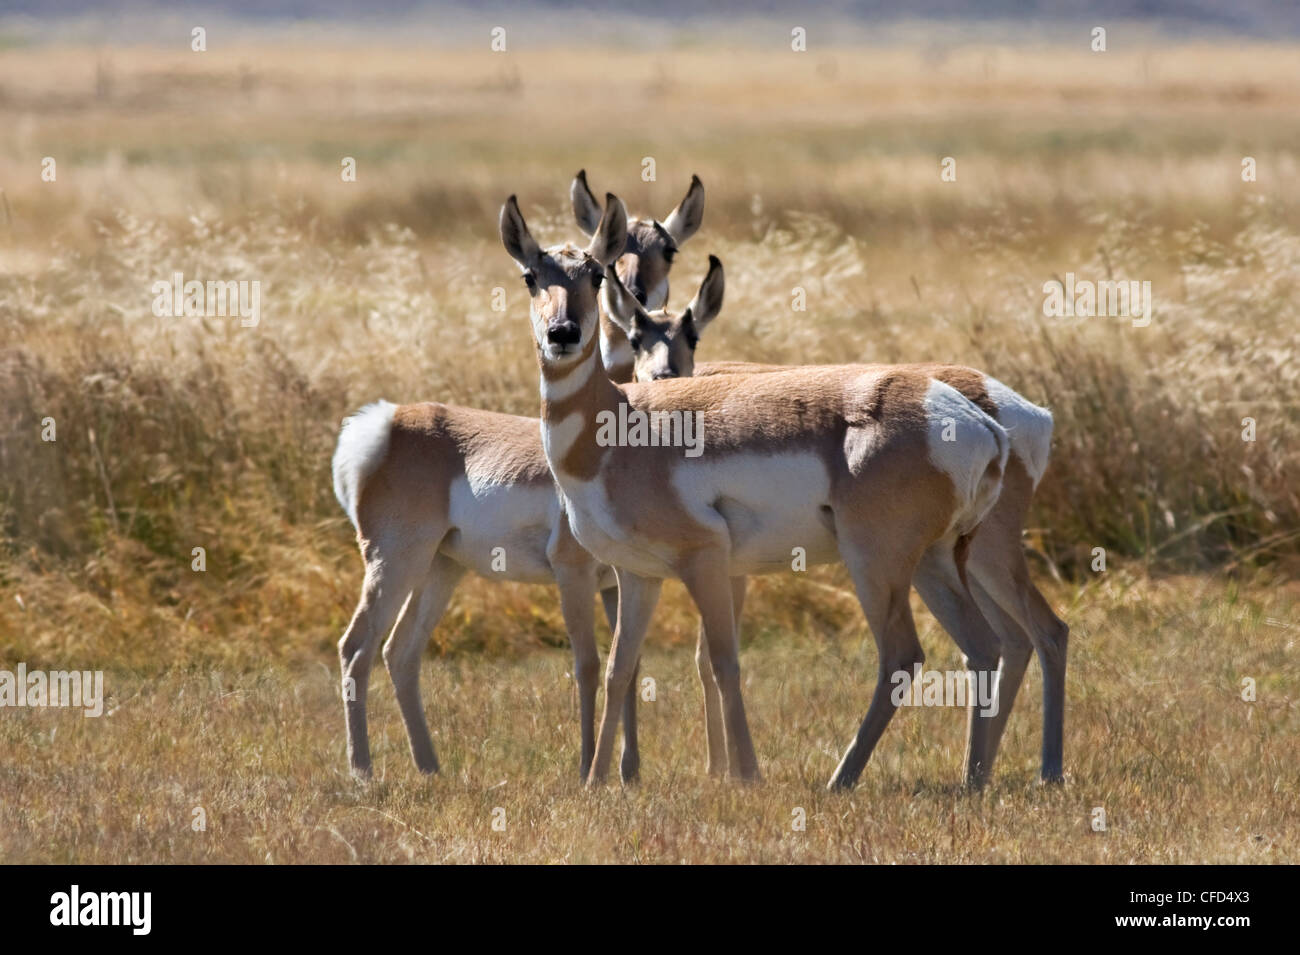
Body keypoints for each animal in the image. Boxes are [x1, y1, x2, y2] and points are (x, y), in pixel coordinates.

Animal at [501, 192, 1008, 784]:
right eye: (531, 276)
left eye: (595, 273)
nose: (562, 334)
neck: (620, 423)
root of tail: (970, 417)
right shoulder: (638, 575)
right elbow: (620, 668)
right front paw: (597, 782)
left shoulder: (706, 560)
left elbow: (723, 661)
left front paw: (744, 775)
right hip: (935, 561)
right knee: (984, 647)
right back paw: (971, 780)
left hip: (875, 563)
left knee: (903, 656)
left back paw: (841, 781)